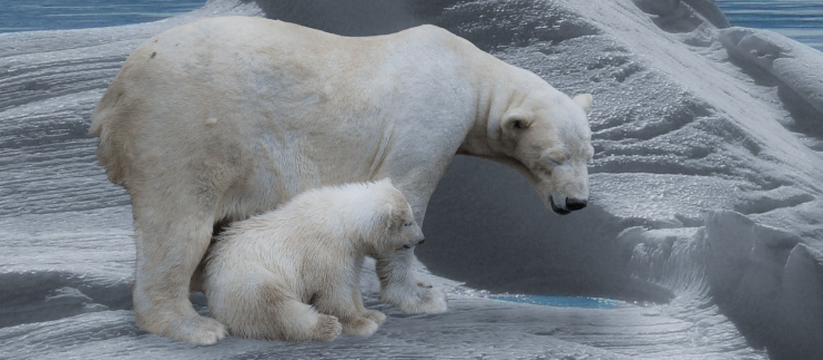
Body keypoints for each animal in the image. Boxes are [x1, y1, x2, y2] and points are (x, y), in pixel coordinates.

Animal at [88, 16, 592, 344]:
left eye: (588, 155)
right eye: (555, 158)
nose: (578, 203)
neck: (471, 72)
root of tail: (112, 96)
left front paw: (426, 287)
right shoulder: (427, 123)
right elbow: (408, 192)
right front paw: (420, 297)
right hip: (181, 129)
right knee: (180, 225)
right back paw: (194, 325)